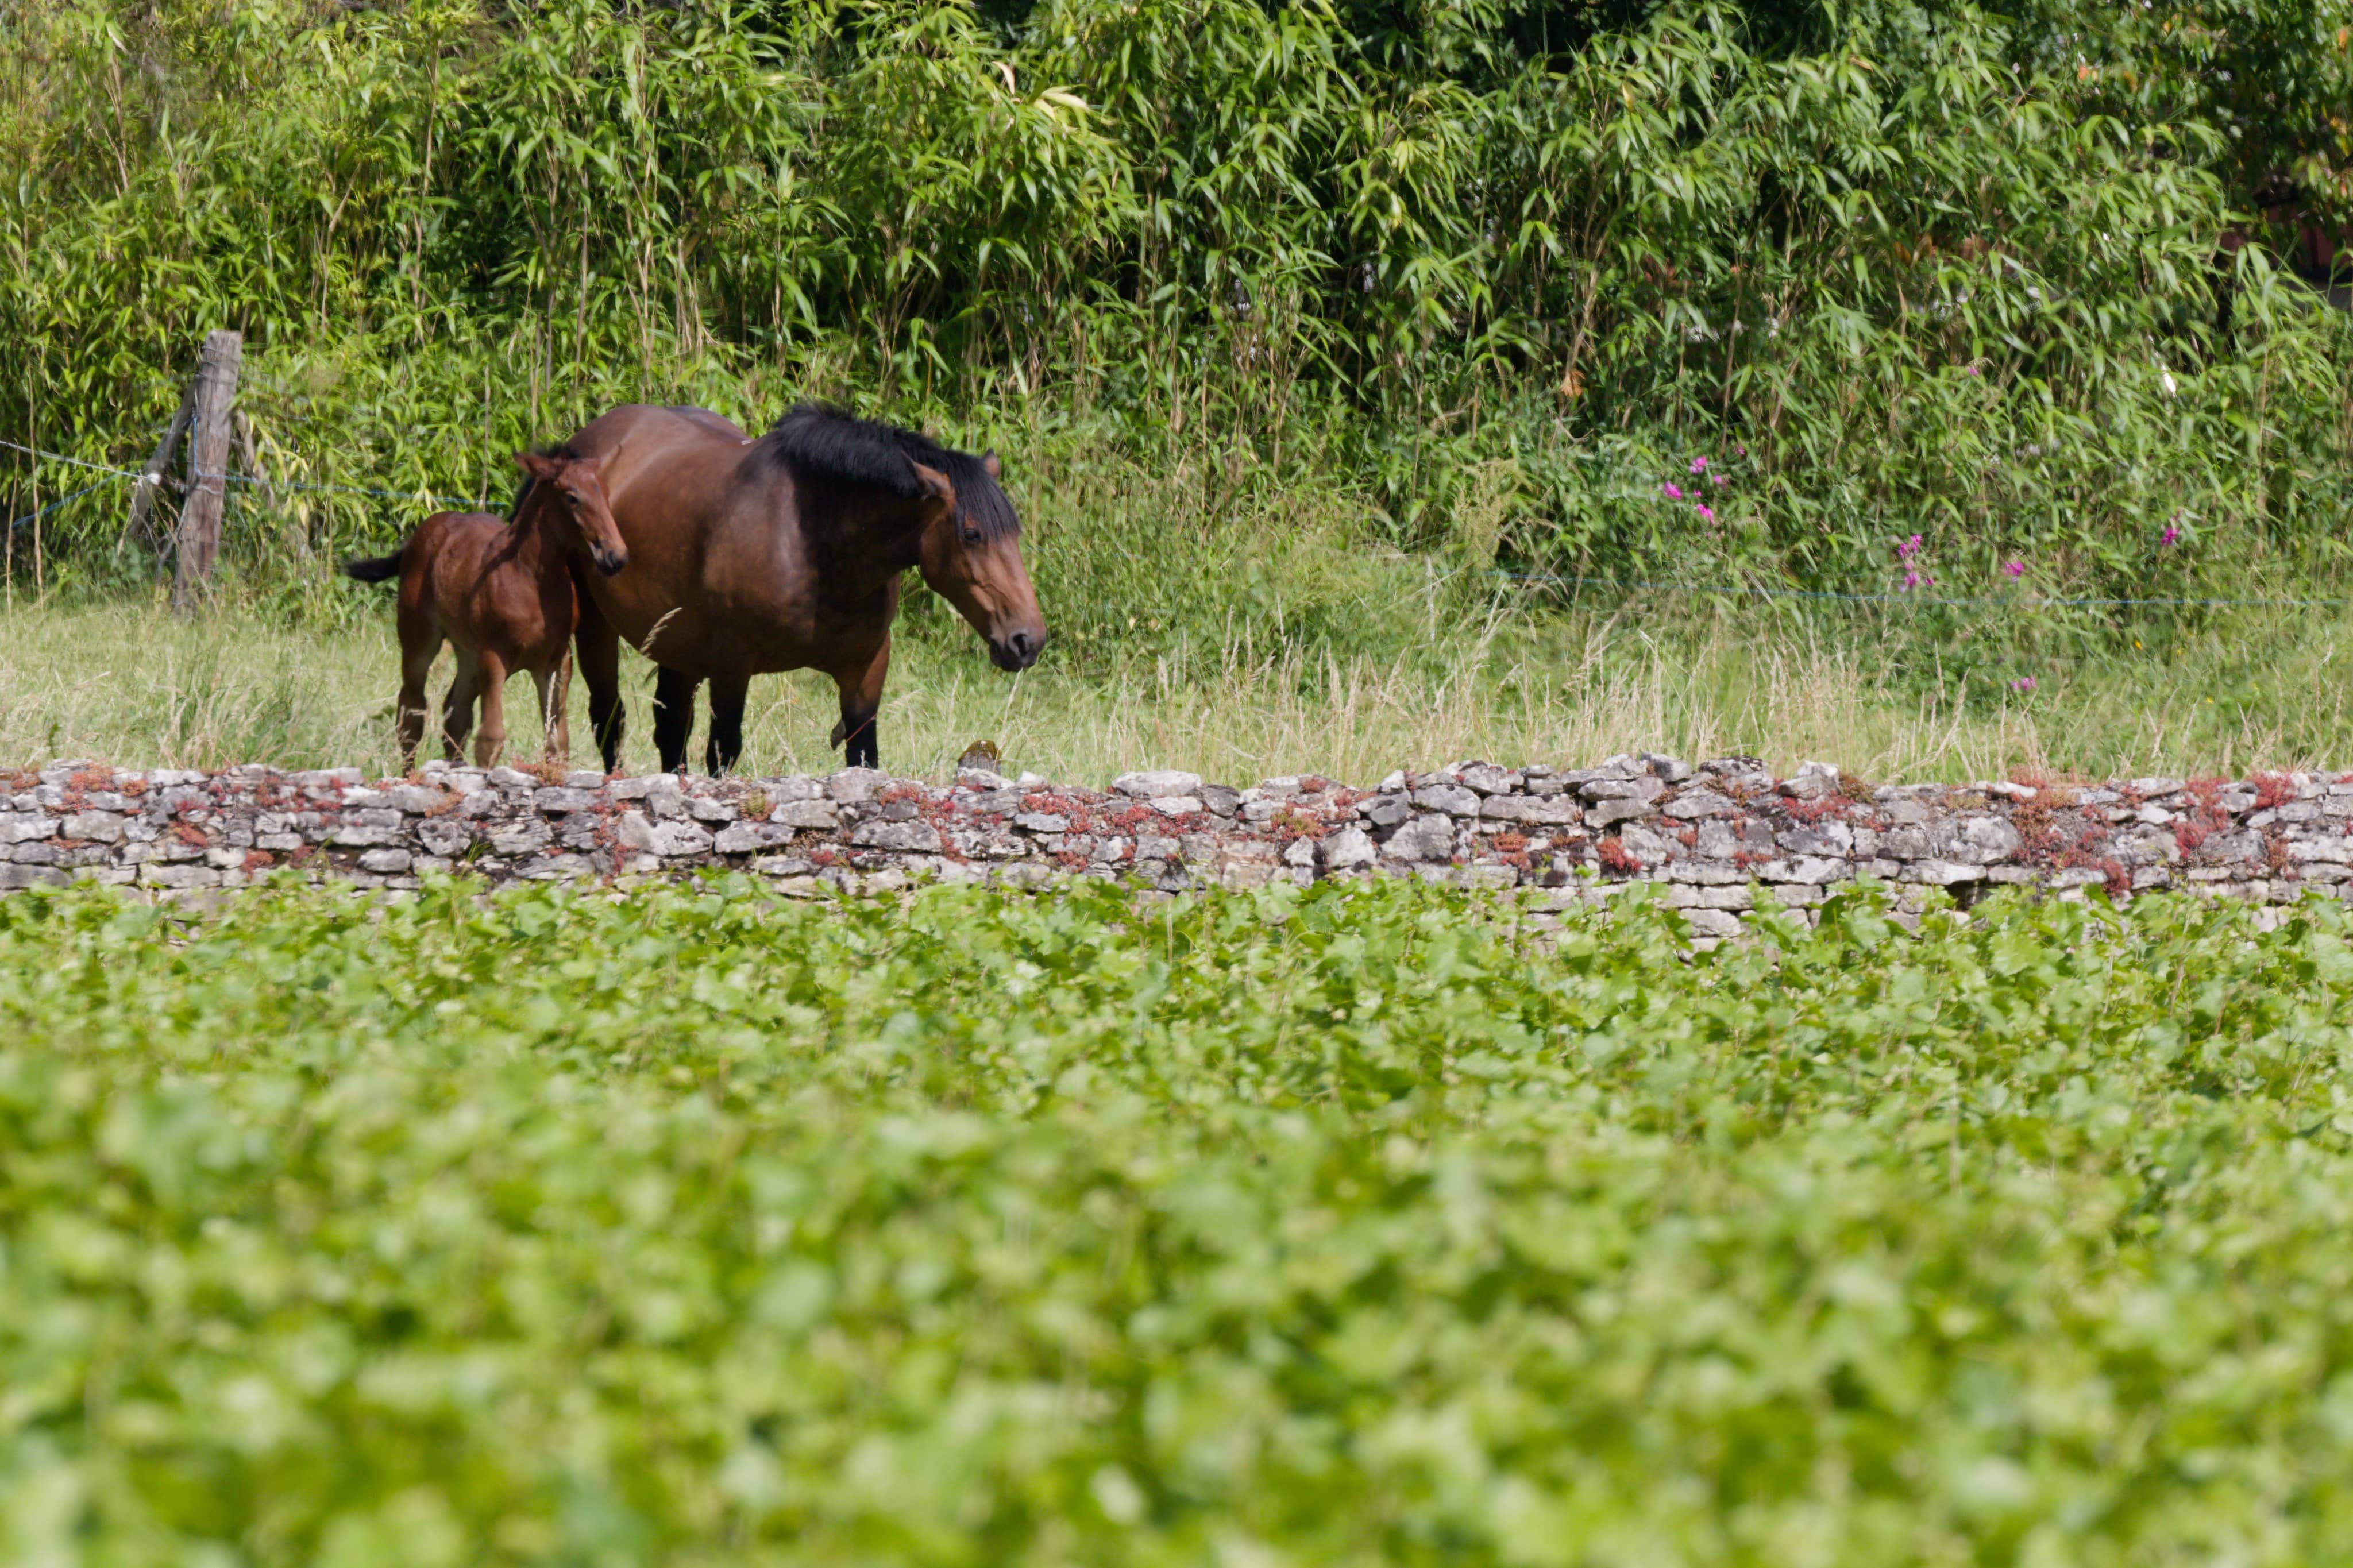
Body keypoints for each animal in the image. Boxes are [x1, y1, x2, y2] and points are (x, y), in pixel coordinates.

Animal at [340, 448, 628, 770]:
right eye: (571, 497)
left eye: (605, 493)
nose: (614, 556)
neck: (530, 580)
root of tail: (421, 534)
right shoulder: (494, 655)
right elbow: (491, 738)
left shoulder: (557, 661)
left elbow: (557, 742)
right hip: (420, 640)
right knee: (411, 711)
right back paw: (408, 774)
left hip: (468, 652)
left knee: (456, 713)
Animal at [551, 402, 1045, 775]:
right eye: (972, 535)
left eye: (1015, 532)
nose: (1027, 640)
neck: (812, 542)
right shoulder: (731, 666)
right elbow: (722, 753)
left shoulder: (866, 670)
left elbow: (863, 758)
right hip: (598, 627)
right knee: (609, 718)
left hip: (678, 648)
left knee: (670, 729)